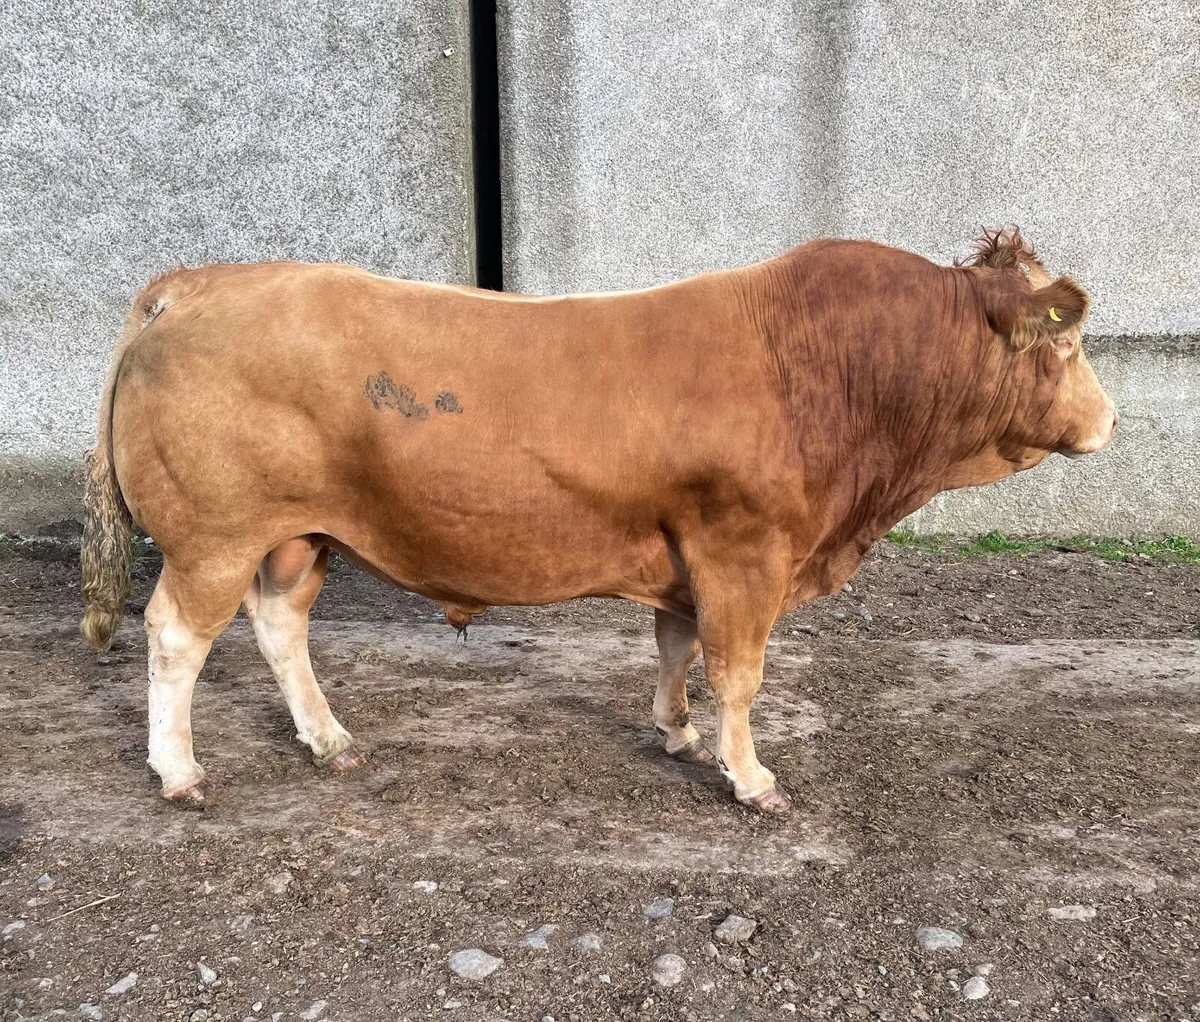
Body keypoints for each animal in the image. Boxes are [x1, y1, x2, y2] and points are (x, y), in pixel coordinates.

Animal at [80, 228, 1116, 813]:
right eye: (1067, 343)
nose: (1109, 420)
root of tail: (199, 282)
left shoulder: (689, 555)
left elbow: (676, 647)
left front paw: (677, 733)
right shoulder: (746, 550)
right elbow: (739, 673)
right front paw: (751, 780)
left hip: (298, 536)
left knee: (278, 624)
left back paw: (328, 740)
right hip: (213, 536)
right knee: (176, 637)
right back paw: (179, 773)